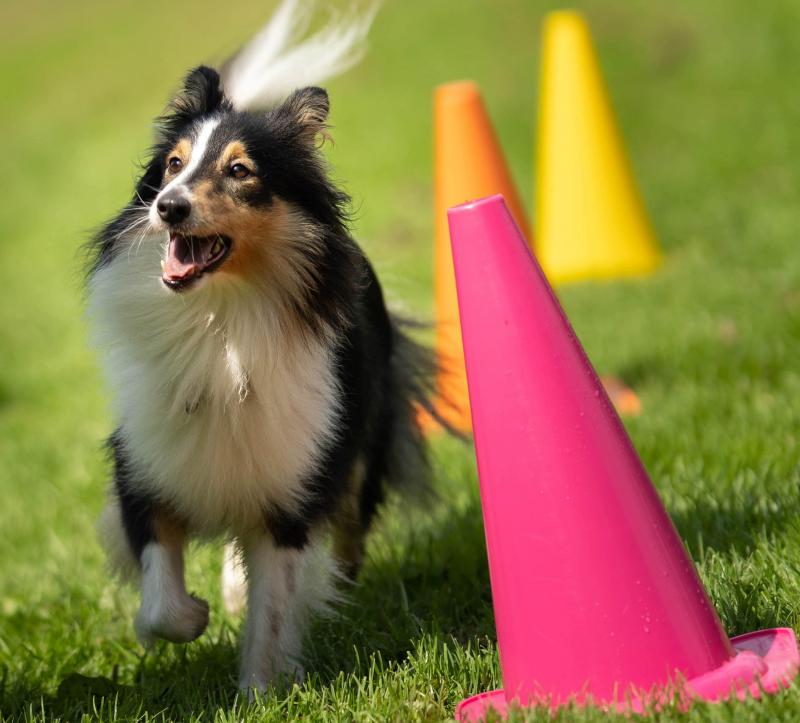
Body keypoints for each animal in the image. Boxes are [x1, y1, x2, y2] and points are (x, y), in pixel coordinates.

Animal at [88, 0, 444, 692]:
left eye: (239, 171)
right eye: (172, 166)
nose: (168, 208)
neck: (220, 319)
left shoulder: (292, 488)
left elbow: (273, 610)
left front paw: (260, 691)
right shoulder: (146, 467)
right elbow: (161, 603)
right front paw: (197, 616)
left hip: (357, 448)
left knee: (347, 539)